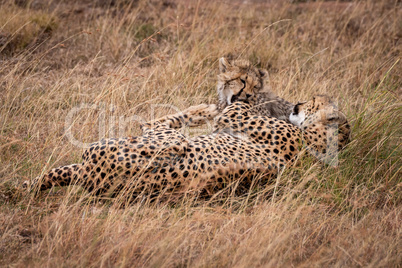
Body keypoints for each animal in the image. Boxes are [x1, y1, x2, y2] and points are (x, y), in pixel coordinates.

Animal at [25, 93, 350, 198]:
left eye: (313, 100)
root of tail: (86, 175)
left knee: (159, 131)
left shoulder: (241, 118)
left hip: (148, 145)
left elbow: (234, 108)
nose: (298, 104)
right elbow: (227, 109)